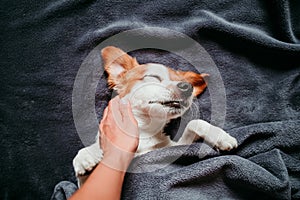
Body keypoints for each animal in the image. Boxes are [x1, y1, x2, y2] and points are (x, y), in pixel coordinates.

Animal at [72, 45, 237, 186]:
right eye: (153, 77)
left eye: (184, 82)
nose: (187, 87)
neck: (145, 130)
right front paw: (85, 156)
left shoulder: (174, 148)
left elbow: (194, 123)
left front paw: (220, 136)